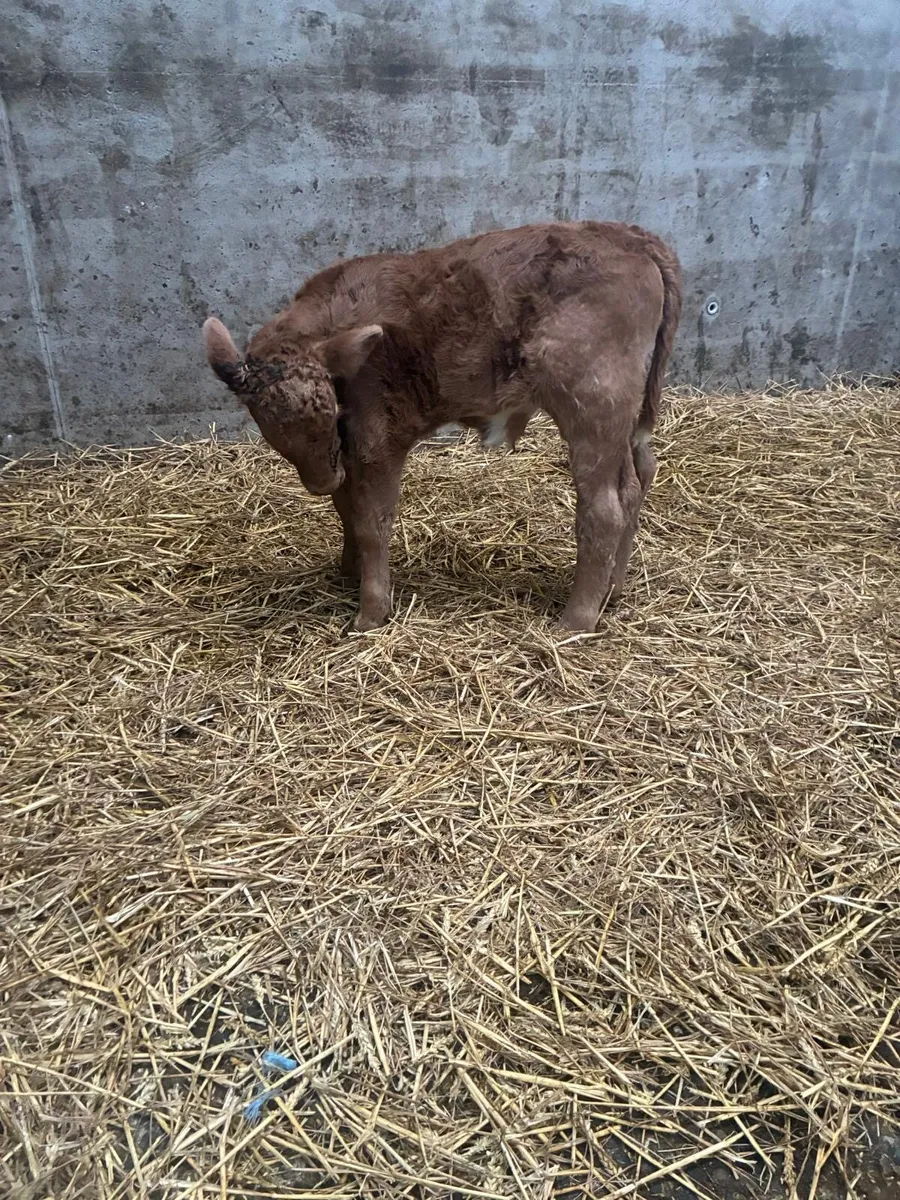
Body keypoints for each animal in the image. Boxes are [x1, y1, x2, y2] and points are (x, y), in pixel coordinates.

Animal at [203, 221, 681, 632]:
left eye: (326, 408)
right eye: (268, 421)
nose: (321, 479)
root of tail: (631, 237)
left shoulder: (378, 439)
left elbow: (371, 521)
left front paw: (371, 612)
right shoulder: (347, 449)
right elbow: (345, 508)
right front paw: (347, 573)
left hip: (593, 404)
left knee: (603, 509)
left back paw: (576, 620)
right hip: (622, 416)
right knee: (637, 480)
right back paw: (612, 594)